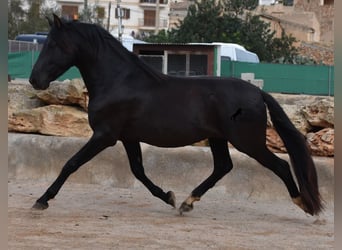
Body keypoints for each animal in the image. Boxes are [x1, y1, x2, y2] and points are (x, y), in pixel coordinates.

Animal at [29, 14, 324, 216]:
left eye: (54, 45)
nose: (34, 80)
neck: (119, 81)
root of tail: (258, 92)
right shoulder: (127, 137)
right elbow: (138, 171)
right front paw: (168, 196)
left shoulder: (104, 136)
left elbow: (71, 164)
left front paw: (41, 200)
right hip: (218, 138)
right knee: (223, 166)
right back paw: (186, 202)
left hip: (247, 142)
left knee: (281, 166)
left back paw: (305, 205)